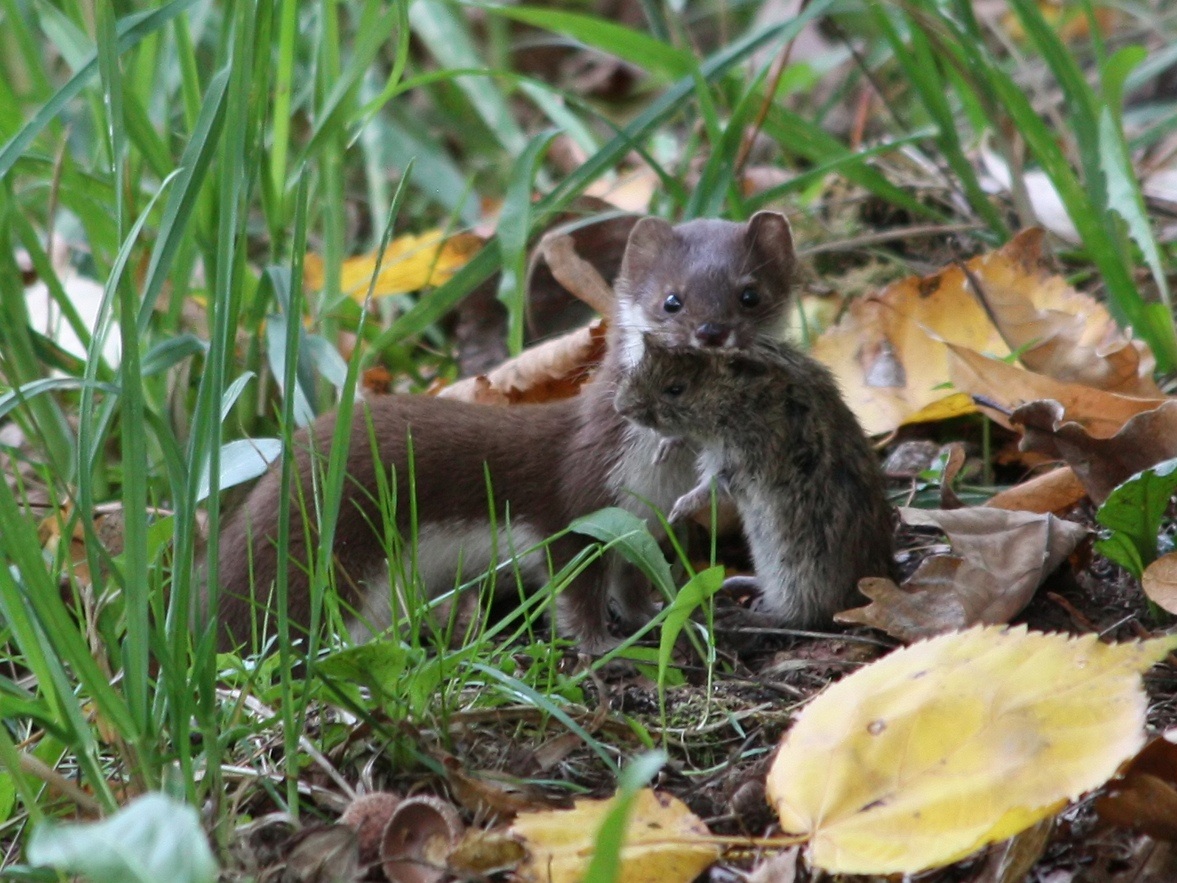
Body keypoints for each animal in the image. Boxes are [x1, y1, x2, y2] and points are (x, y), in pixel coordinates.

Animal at [211, 210, 800, 654]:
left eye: (750, 295)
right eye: (671, 300)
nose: (711, 331)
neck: (654, 478)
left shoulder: (642, 521)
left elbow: (631, 579)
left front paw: (655, 615)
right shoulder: (577, 507)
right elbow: (574, 591)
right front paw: (603, 646)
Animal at [612, 336, 894, 631]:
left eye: (676, 389)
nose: (620, 407)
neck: (747, 396)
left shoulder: (741, 462)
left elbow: (709, 487)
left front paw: (676, 511)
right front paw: (665, 448)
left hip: (796, 572)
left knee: (797, 617)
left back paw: (741, 613)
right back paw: (738, 582)